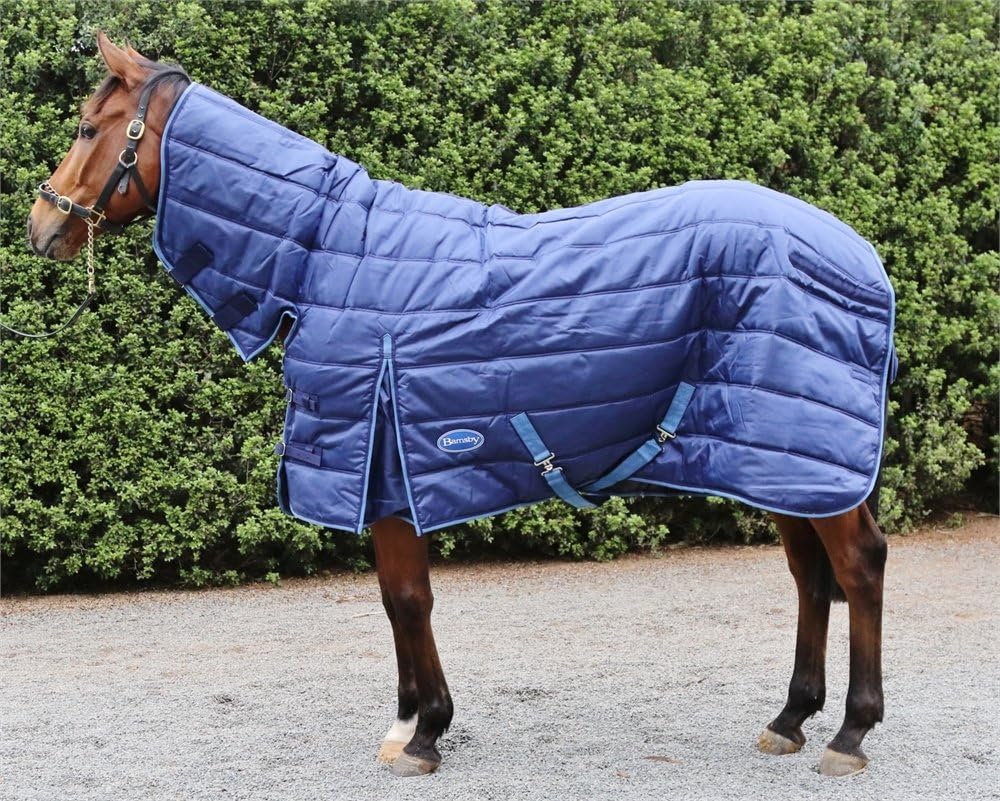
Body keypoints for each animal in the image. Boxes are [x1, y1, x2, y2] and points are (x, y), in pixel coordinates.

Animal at [27, 34, 890, 780]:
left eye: (89, 126)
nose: (41, 224)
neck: (326, 255)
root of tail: (859, 254)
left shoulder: (390, 459)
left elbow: (411, 599)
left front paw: (427, 731)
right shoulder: (386, 475)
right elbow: (393, 601)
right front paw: (406, 719)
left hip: (806, 457)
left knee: (859, 564)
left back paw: (849, 731)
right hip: (777, 460)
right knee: (810, 576)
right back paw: (789, 718)